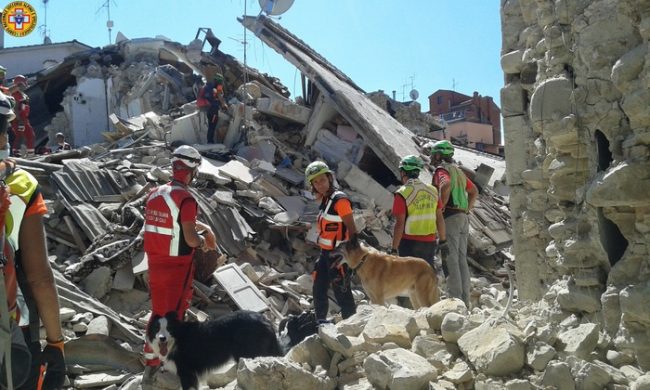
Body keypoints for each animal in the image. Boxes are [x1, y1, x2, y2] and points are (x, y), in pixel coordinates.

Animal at [148, 310, 282, 390]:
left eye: (169, 328)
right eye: (156, 328)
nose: (162, 338)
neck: (177, 340)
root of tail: (266, 320)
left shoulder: (186, 371)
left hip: (249, 353)